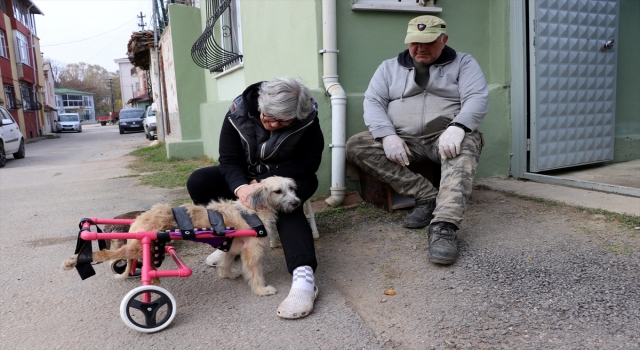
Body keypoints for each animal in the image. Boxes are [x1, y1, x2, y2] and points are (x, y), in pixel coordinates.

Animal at [62, 175, 300, 296]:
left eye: (292, 188)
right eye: (278, 191)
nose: (297, 203)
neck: (253, 209)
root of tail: (140, 218)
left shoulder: (233, 246)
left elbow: (225, 262)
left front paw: (228, 274)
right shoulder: (252, 251)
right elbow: (255, 273)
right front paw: (262, 289)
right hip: (137, 246)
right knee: (106, 254)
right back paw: (74, 260)